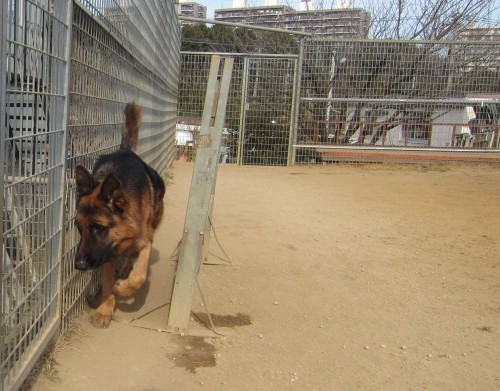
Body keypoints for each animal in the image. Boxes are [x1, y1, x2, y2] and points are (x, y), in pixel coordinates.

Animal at [74, 103, 165, 328]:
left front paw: (123, 287)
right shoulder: (107, 253)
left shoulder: (145, 242)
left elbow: (139, 276)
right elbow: (107, 283)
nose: (79, 266)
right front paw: (105, 310)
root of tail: (125, 151)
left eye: (99, 228)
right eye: (79, 228)